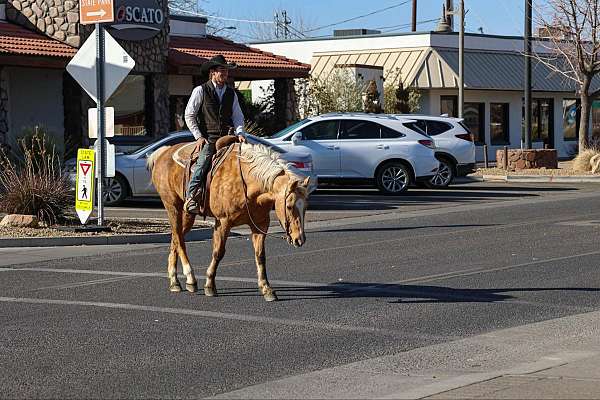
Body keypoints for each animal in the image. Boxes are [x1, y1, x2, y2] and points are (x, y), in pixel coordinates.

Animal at [148, 139, 312, 302]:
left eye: (306, 207)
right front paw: (210, 285)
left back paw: (174, 281)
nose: (300, 239)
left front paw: (266, 288)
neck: (247, 183)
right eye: (289, 206)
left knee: (176, 238)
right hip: (172, 206)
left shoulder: (260, 225)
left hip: (187, 214)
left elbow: (260, 256)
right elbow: (218, 252)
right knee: (179, 240)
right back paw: (190, 279)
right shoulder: (223, 222)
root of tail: (162, 152)